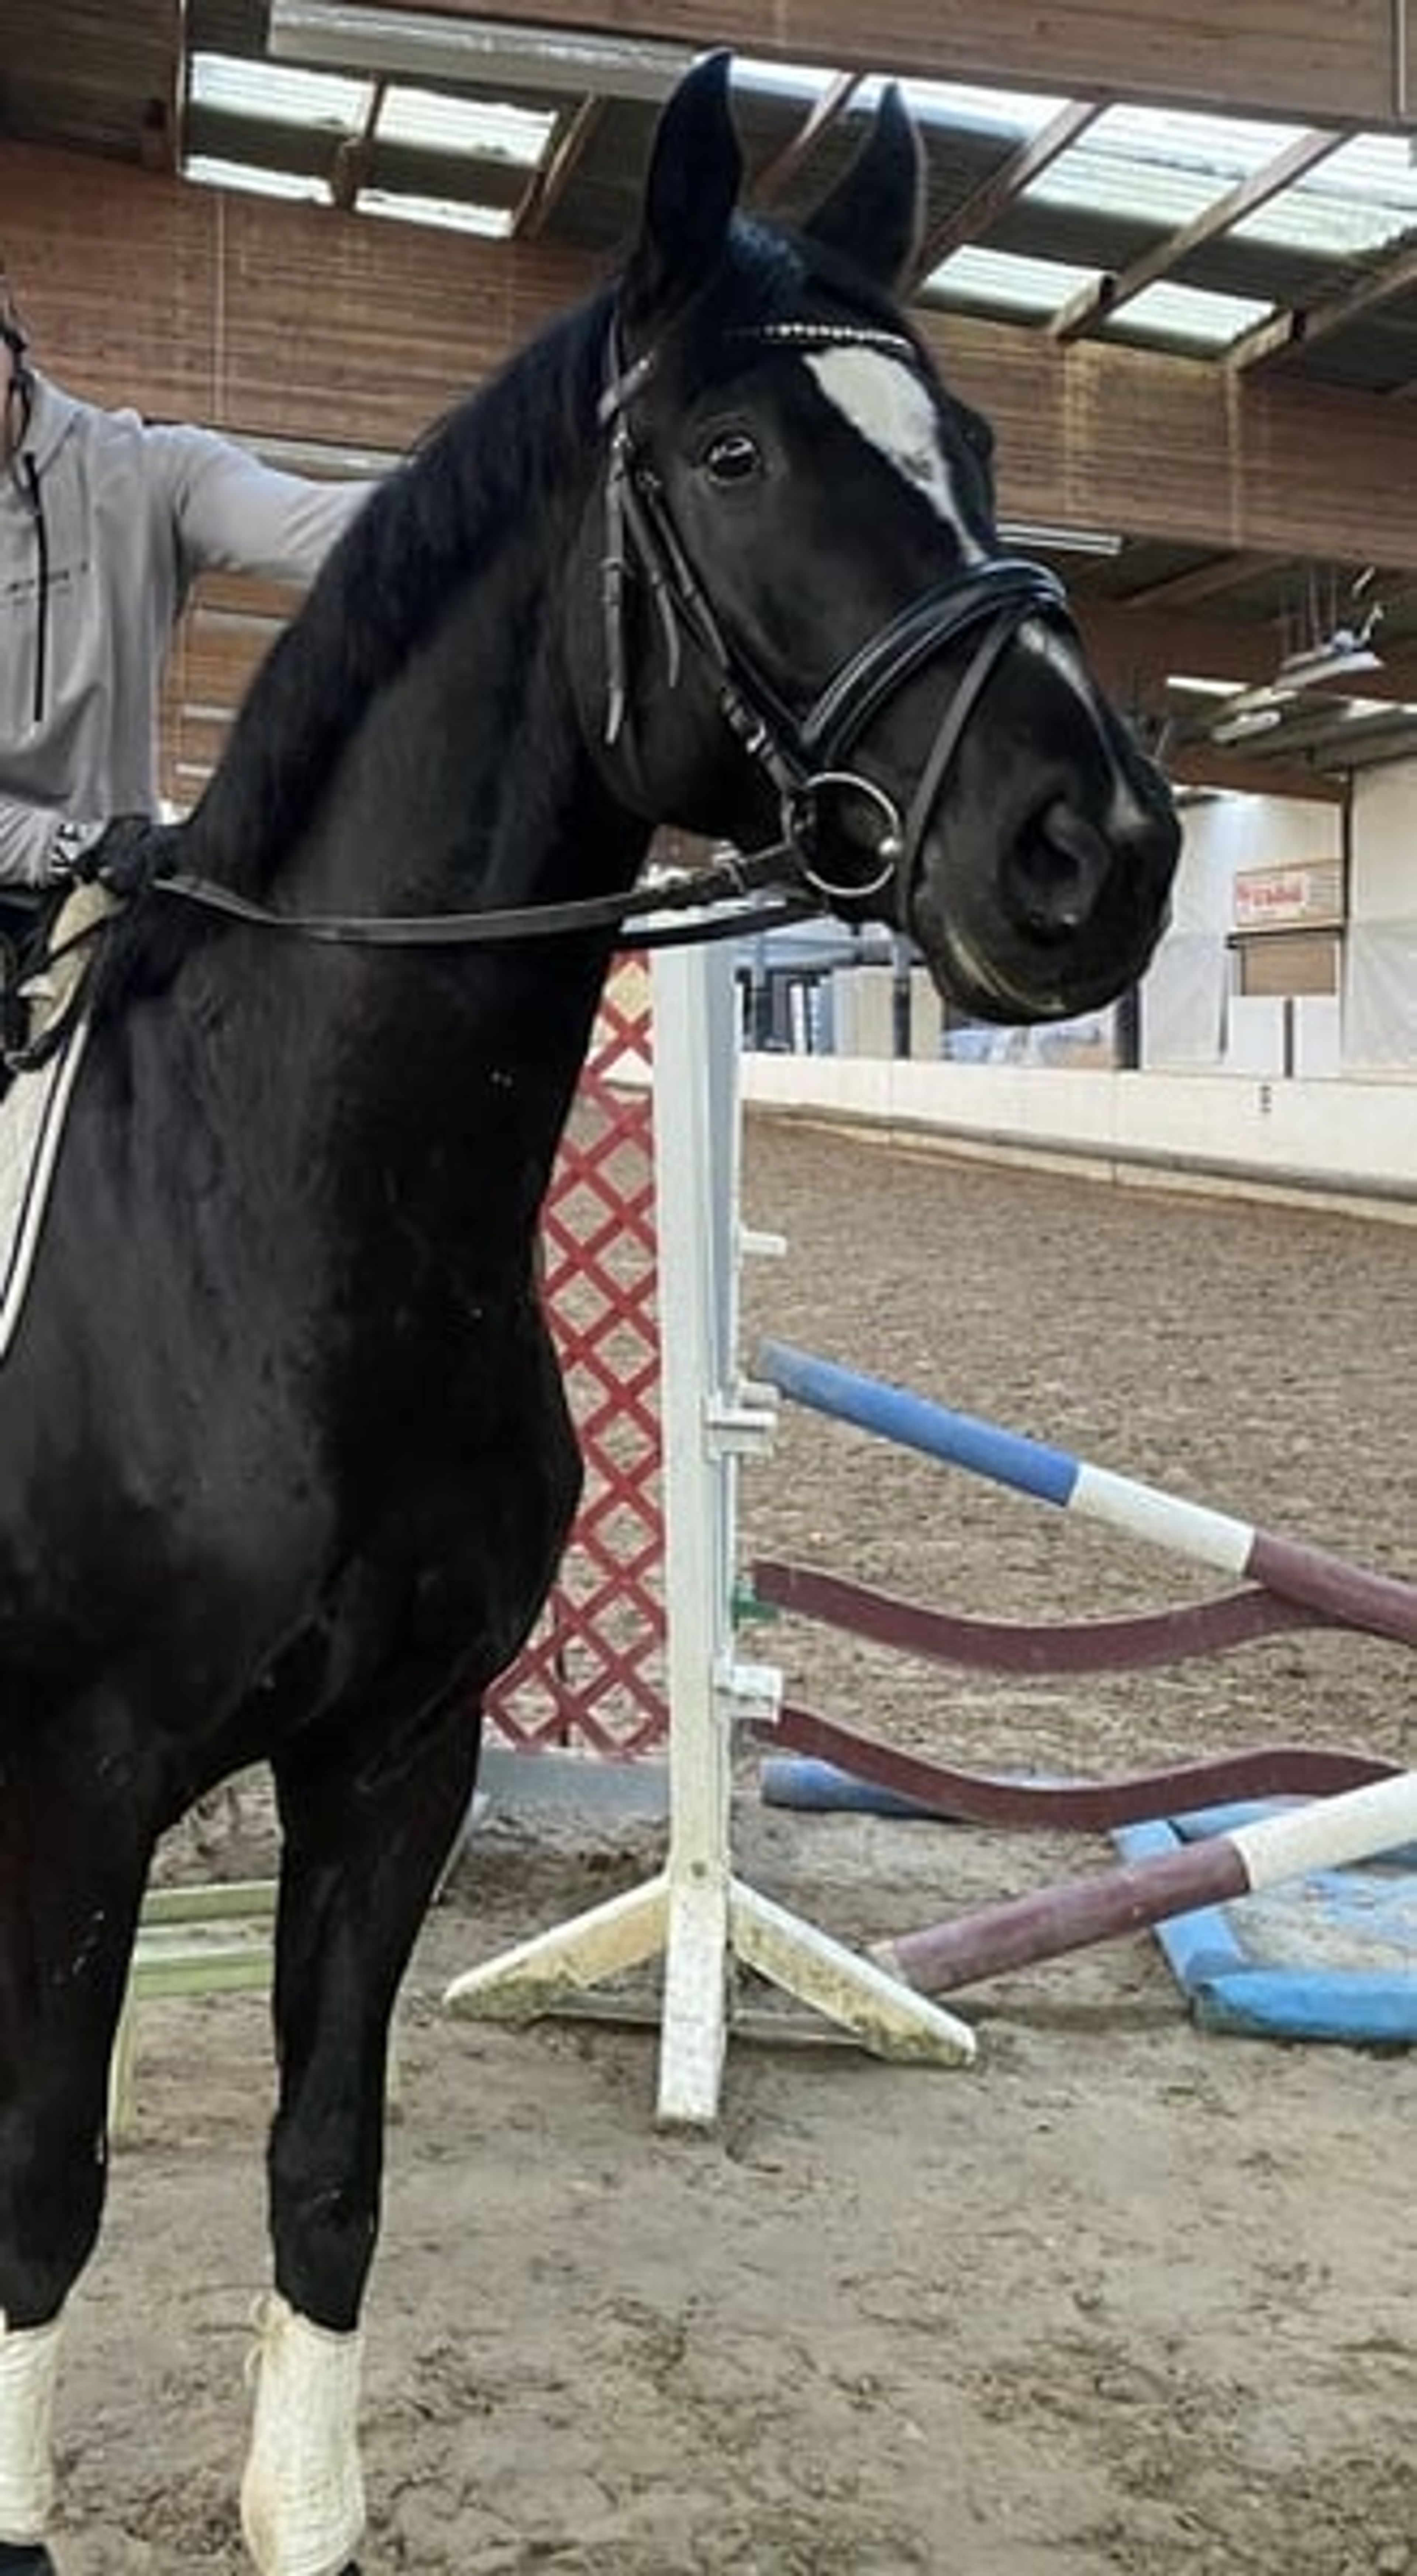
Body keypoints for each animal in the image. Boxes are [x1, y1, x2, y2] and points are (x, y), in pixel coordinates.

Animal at [0, 52, 1178, 2575]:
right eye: (731, 456)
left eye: (977, 445)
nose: (1099, 849)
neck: (281, 1224)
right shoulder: (80, 1775)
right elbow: (43, 2192)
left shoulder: (397, 1764)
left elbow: (326, 2185)